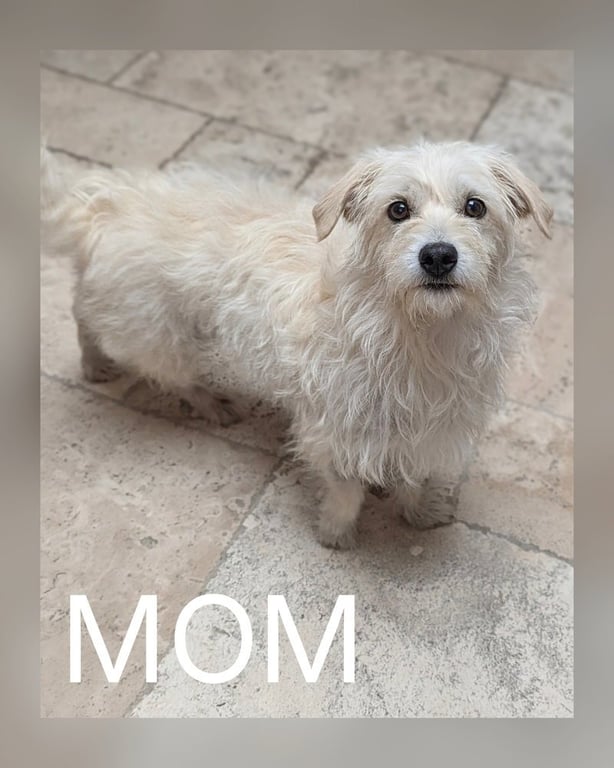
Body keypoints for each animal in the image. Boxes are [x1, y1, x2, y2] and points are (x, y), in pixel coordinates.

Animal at [41, 141, 551, 549]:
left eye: (475, 206)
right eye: (398, 209)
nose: (439, 256)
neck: (420, 331)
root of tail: (104, 203)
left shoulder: (430, 427)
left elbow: (412, 474)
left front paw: (417, 510)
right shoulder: (332, 428)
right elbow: (346, 489)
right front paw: (336, 533)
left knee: (82, 308)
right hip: (155, 331)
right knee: (138, 351)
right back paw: (196, 398)